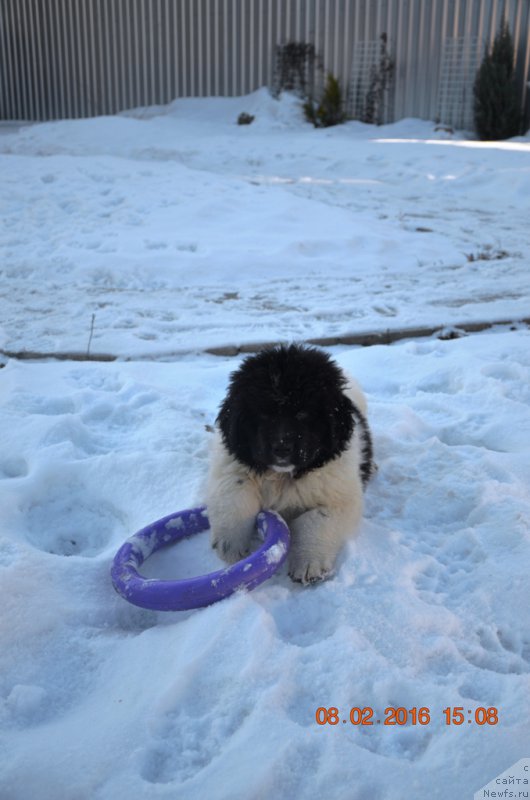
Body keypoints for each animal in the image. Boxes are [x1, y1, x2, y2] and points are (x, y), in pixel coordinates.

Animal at [204, 342, 374, 580]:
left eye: (303, 414)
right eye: (263, 414)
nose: (282, 447)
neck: (282, 476)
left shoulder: (340, 497)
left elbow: (317, 519)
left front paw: (309, 563)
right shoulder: (231, 466)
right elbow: (235, 494)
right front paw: (231, 544)